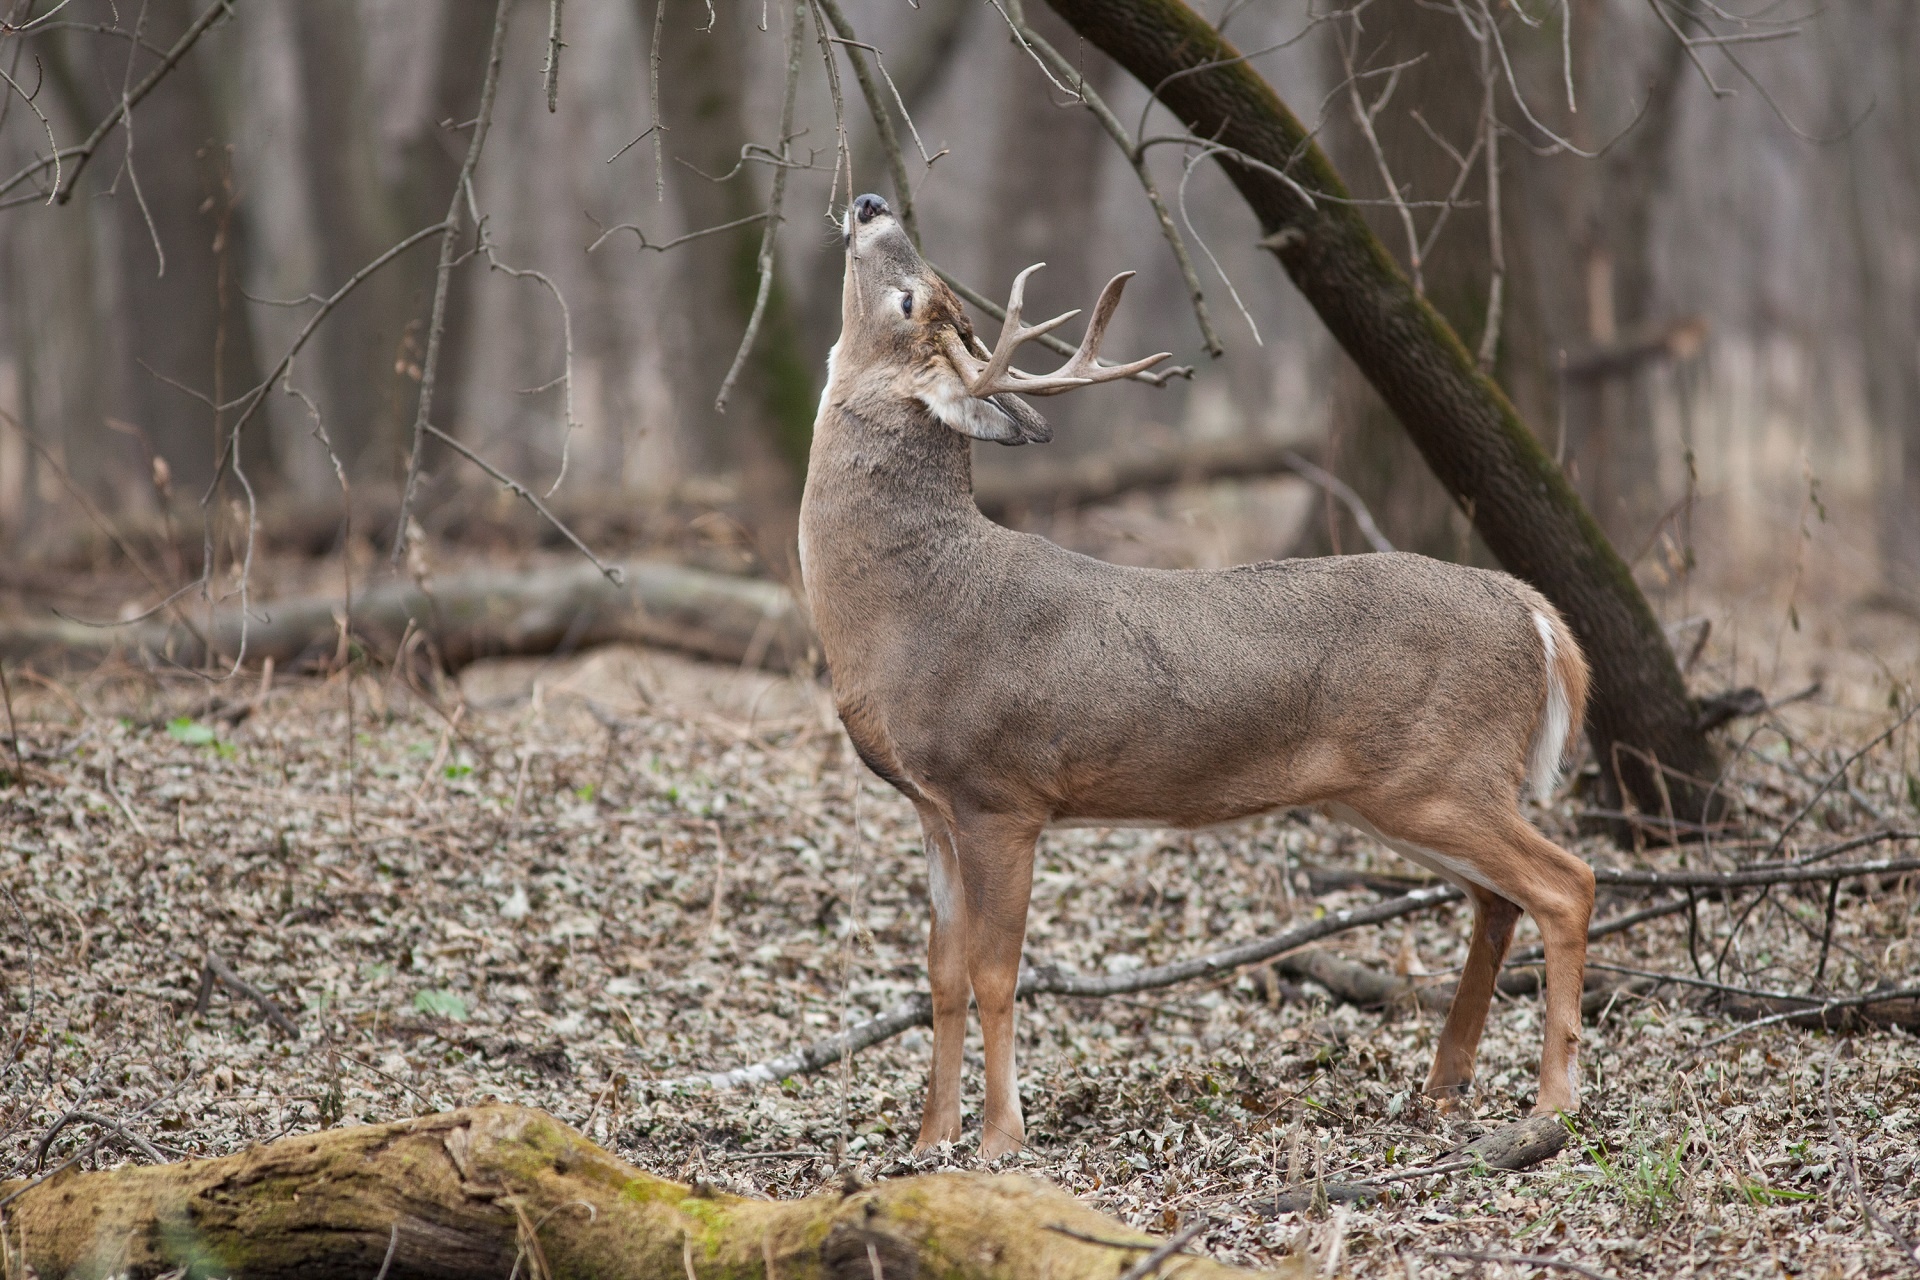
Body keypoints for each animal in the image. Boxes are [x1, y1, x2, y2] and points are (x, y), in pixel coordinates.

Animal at [802, 192, 1597, 1159]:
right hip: (1399, 792)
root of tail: (1535, 613)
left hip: (1441, 774)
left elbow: (996, 972)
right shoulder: (932, 806)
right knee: (1497, 899)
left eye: (910, 297)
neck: (910, 608)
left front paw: (999, 1143)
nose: (871, 202)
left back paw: (1552, 1103)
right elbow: (942, 973)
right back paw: (1446, 1084)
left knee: (1566, 884)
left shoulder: (1002, 794)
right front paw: (928, 1142)